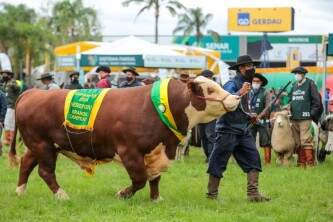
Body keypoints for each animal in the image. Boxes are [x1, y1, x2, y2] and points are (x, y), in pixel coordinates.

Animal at [8, 76, 239, 201]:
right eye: (210, 89)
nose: (235, 98)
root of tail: (32, 92)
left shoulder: (157, 152)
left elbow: (155, 178)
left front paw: (156, 199)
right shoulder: (130, 151)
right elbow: (140, 179)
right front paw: (122, 194)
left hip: (39, 146)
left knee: (26, 164)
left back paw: (20, 191)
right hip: (43, 145)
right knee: (45, 172)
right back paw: (62, 195)